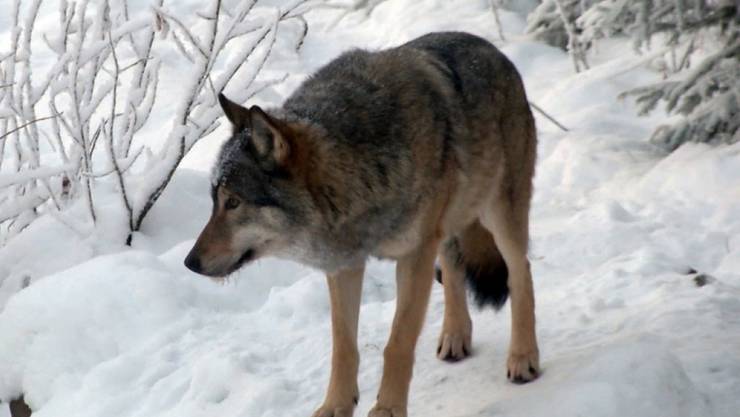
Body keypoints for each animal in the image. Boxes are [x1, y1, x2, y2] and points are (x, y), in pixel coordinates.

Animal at [186, 30, 536, 414]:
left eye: (233, 202)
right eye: (214, 201)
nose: (190, 263)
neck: (357, 171)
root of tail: (492, 49)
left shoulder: (414, 256)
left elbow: (397, 343)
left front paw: (387, 409)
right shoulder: (345, 266)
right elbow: (343, 348)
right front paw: (335, 406)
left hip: (498, 214)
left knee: (521, 271)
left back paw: (523, 358)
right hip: (447, 226)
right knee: (453, 267)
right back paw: (455, 336)